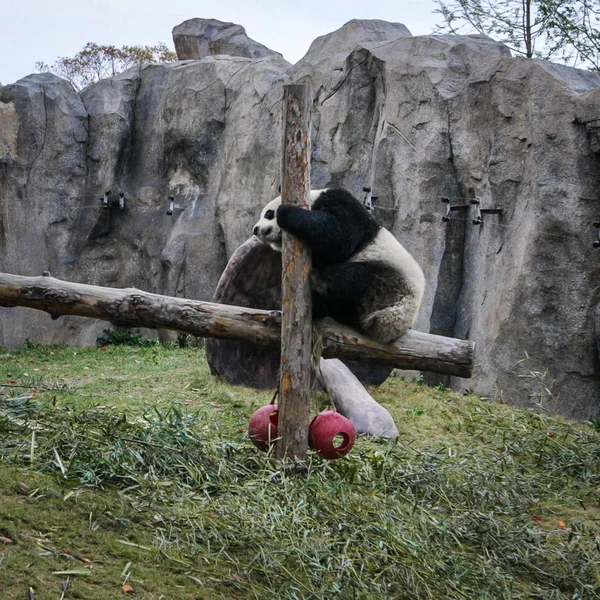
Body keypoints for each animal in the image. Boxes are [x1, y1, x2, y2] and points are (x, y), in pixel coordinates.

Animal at [251, 188, 424, 346]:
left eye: (268, 214)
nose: (255, 229)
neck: (314, 199)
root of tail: (396, 324)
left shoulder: (342, 202)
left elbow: (339, 235)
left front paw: (285, 211)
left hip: (388, 282)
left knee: (351, 279)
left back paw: (317, 280)